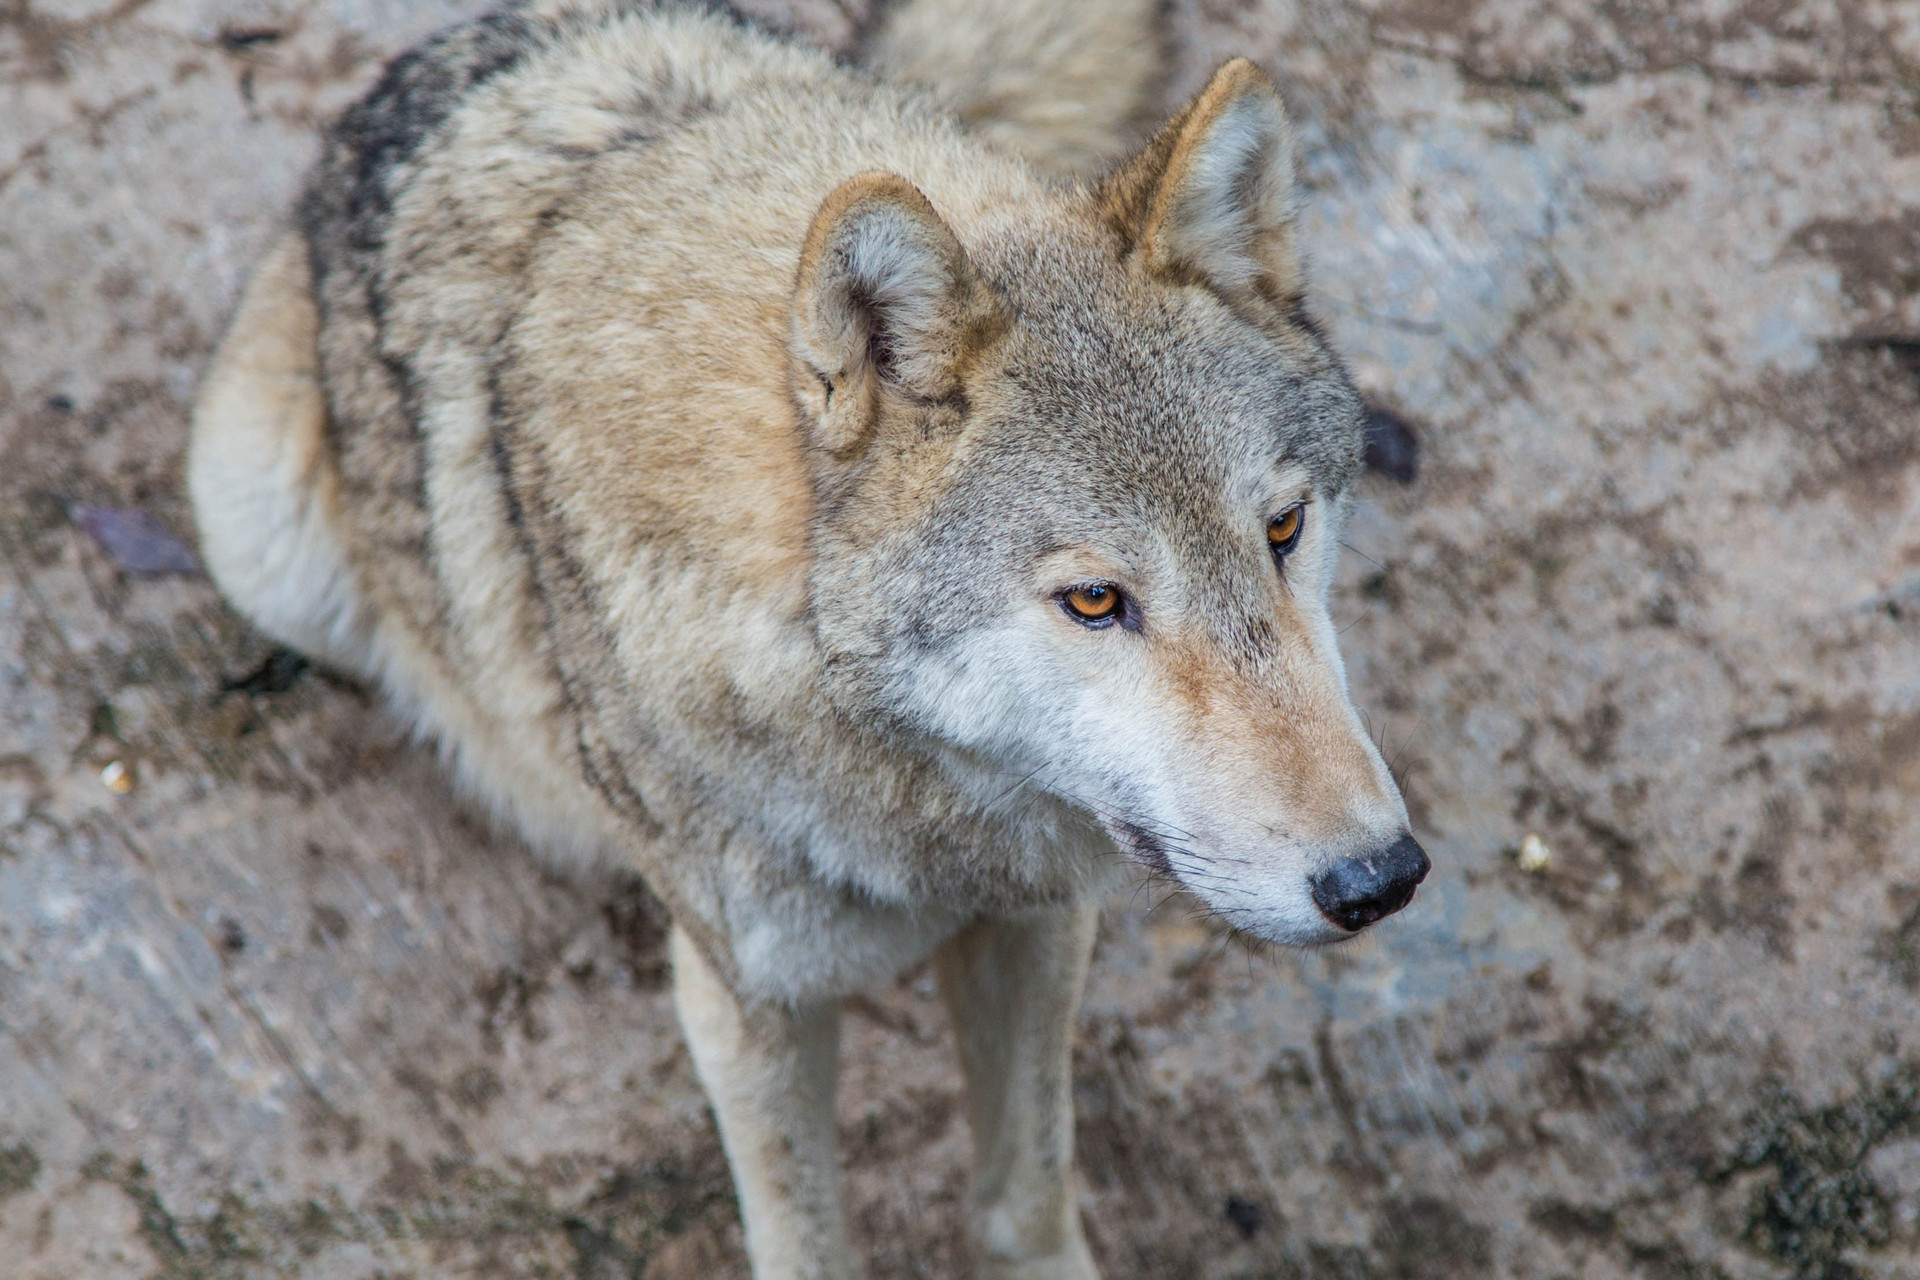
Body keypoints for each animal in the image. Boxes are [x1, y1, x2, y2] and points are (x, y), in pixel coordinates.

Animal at [187, 5, 1436, 1274]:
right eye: (1095, 600)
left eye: (1283, 528)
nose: (1378, 878)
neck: (918, 813)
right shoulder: (750, 1003)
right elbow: (805, 1236)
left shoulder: (1035, 921)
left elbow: (1025, 1192)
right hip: (256, 530)